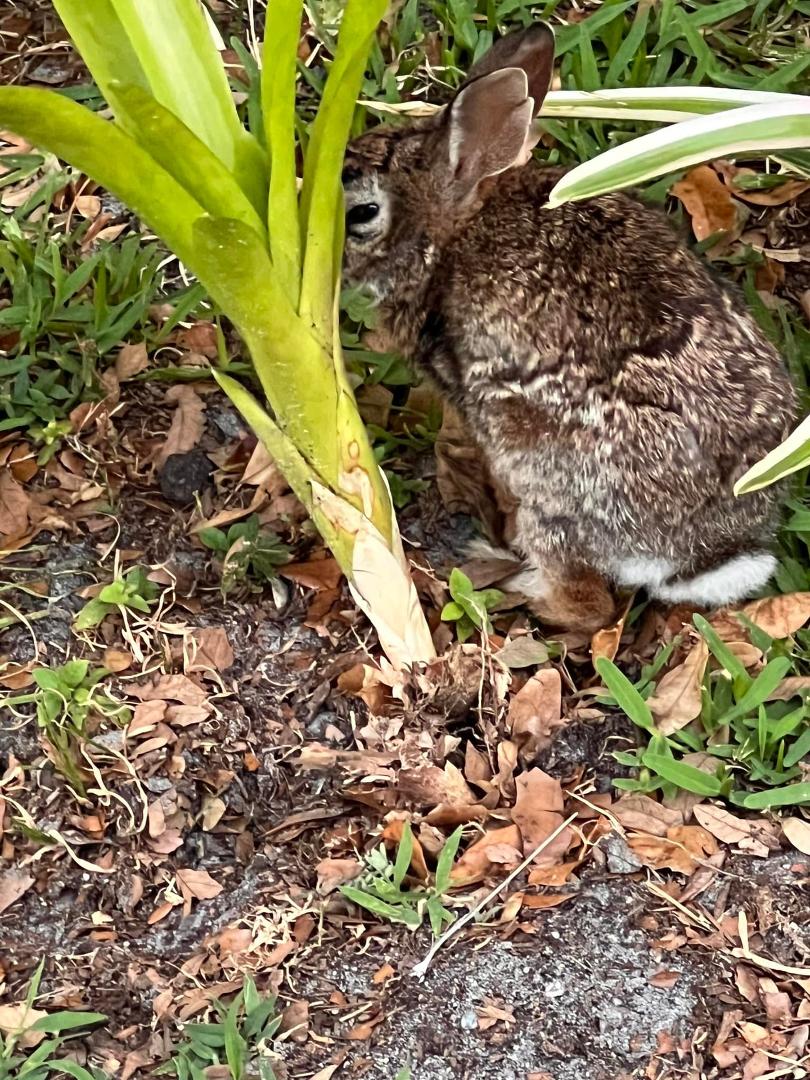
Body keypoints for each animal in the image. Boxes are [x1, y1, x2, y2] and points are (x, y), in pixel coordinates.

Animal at [342, 24, 796, 634]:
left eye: (362, 213)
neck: (454, 228)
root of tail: (708, 552)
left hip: (543, 476)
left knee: (588, 605)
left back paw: (505, 575)